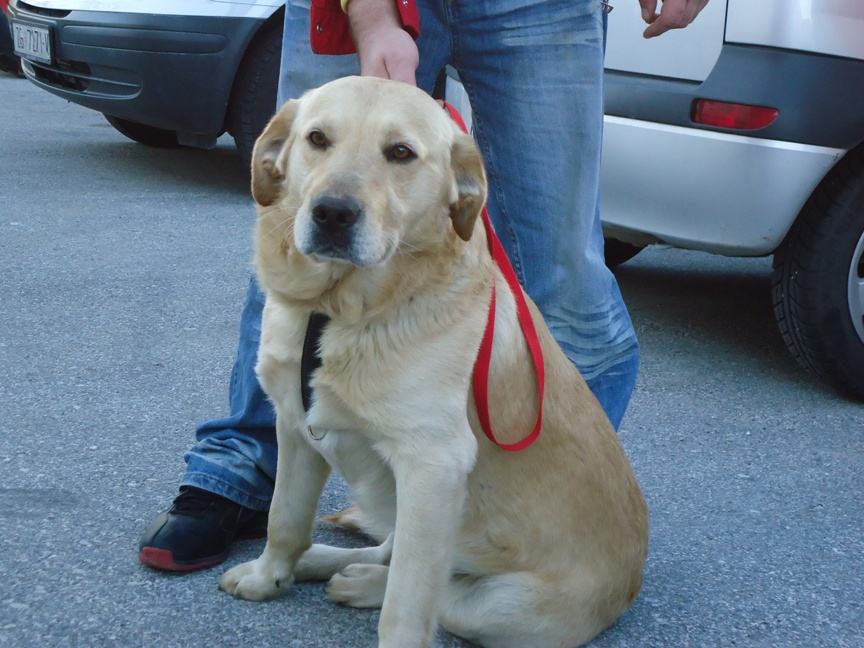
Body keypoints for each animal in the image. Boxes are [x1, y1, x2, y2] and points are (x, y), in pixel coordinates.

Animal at [218, 77, 648, 648]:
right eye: (317, 139)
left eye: (400, 153)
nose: (332, 213)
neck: (336, 310)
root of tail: (631, 582)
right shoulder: (294, 425)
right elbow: (283, 517)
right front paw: (269, 576)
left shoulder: (433, 465)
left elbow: (407, 604)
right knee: (388, 547)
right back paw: (325, 560)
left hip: (500, 604)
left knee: (442, 593)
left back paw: (359, 581)